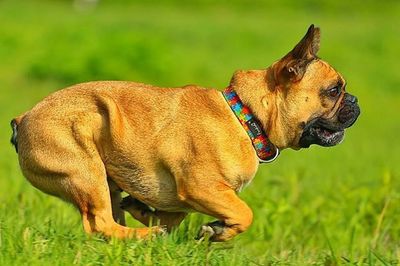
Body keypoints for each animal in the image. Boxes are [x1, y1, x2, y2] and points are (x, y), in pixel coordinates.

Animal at [9, 25, 360, 241]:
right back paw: (145, 238)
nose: (355, 102)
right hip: (86, 168)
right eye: (334, 90)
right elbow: (244, 213)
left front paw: (208, 228)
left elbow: (171, 215)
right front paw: (220, 231)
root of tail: (22, 120)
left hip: (102, 177)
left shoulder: (183, 200)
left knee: (111, 218)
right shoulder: (202, 188)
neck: (246, 118)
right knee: (101, 224)